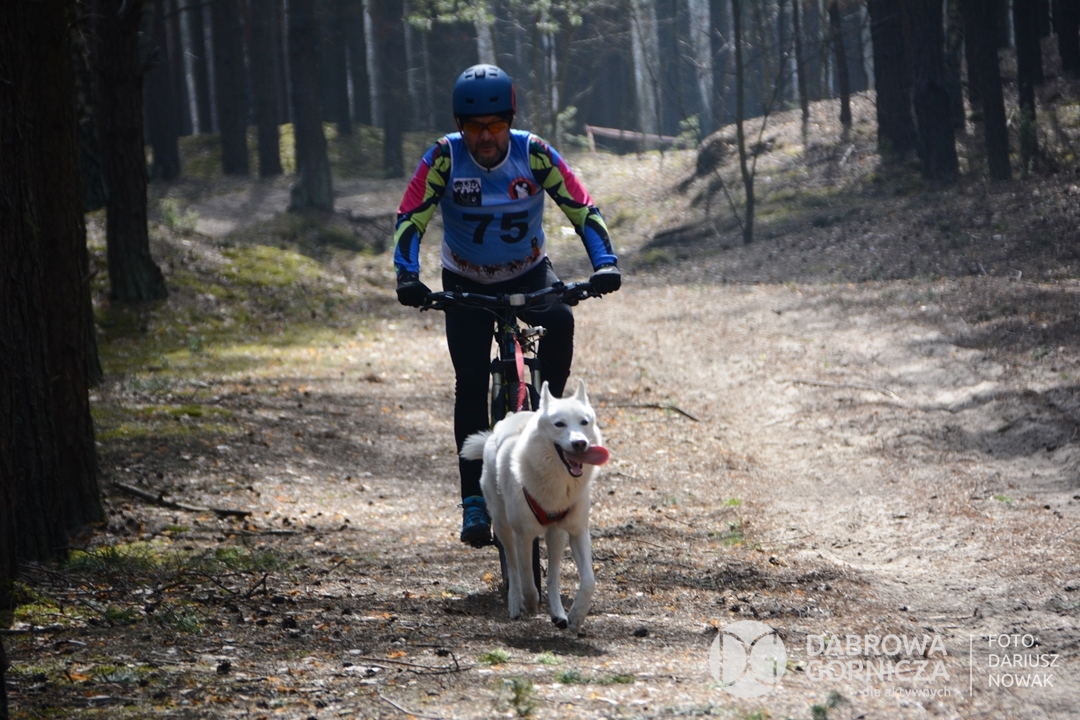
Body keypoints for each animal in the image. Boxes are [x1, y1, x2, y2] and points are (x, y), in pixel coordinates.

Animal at [460, 379, 609, 633]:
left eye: (584, 422)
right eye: (559, 424)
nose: (580, 443)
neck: (558, 484)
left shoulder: (577, 531)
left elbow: (588, 580)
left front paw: (576, 616)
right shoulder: (523, 534)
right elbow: (527, 577)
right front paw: (529, 604)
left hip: (556, 535)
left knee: (553, 575)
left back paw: (558, 613)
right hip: (503, 525)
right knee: (512, 566)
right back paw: (514, 604)